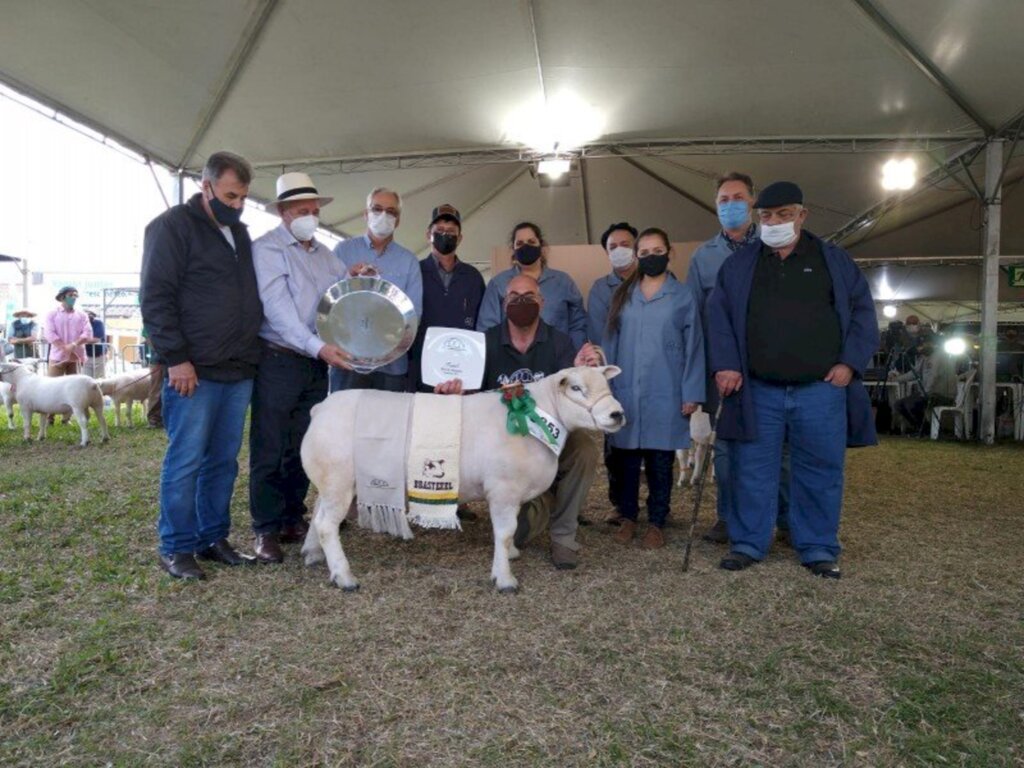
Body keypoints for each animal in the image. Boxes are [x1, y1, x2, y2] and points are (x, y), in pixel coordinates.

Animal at [299, 366, 622, 593]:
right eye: (577, 388)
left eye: (607, 385)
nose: (617, 414)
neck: (538, 417)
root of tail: (320, 409)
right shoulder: (503, 489)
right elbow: (505, 532)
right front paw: (504, 578)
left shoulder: (512, 493)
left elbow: (508, 534)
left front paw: (511, 555)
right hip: (339, 480)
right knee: (327, 525)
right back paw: (344, 576)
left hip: (329, 481)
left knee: (318, 516)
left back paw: (313, 554)